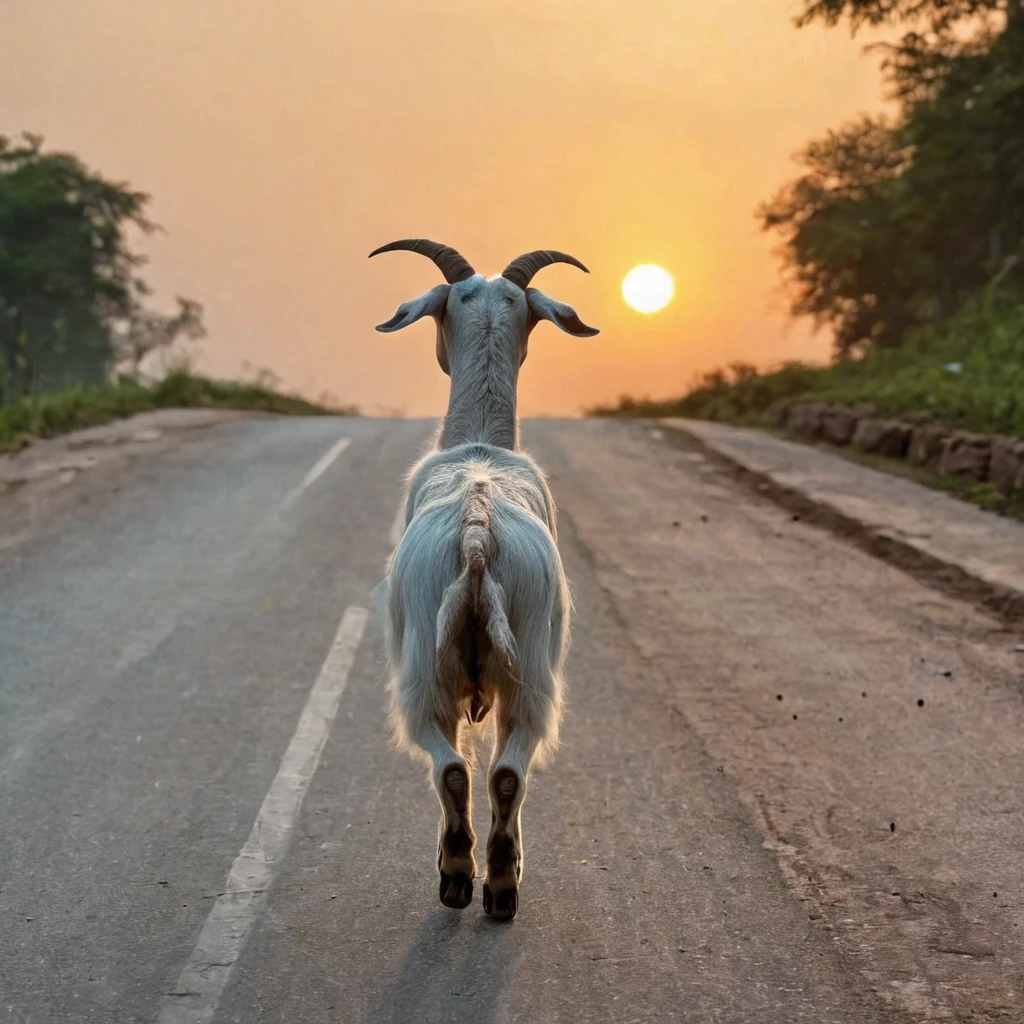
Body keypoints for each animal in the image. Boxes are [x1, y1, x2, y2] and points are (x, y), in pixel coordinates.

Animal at [370, 239, 598, 921]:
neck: (478, 446)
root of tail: (477, 530)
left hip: (427, 669)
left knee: (454, 766)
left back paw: (463, 876)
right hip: (527, 670)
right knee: (503, 771)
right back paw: (498, 885)